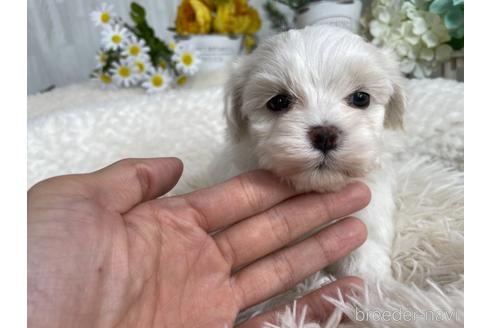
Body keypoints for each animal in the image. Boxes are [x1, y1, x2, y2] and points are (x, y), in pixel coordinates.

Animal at [209, 26, 406, 282]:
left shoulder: (367, 217)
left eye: (361, 98)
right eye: (279, 101)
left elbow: (364, 254)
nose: (325, 135)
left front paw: (376, 284)